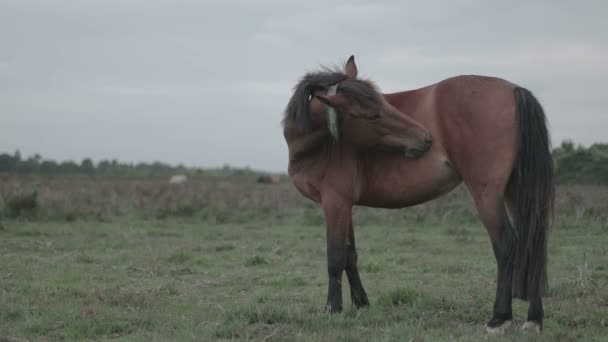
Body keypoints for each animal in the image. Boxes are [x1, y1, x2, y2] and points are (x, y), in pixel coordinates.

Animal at [282, 56, 552, 334]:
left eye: (383, 103)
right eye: (373, 115)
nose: (425, 138)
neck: (321, 144)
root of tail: (515, 90)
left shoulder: (334, 203)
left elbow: (335, 257)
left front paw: (333, 309)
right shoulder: (345, 205)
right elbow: (350, 255)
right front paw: (361, 303)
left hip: (486, 194)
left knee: (506, 243)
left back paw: (499, 318)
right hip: (515, 190)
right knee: (533, 240)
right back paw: (534, 319)